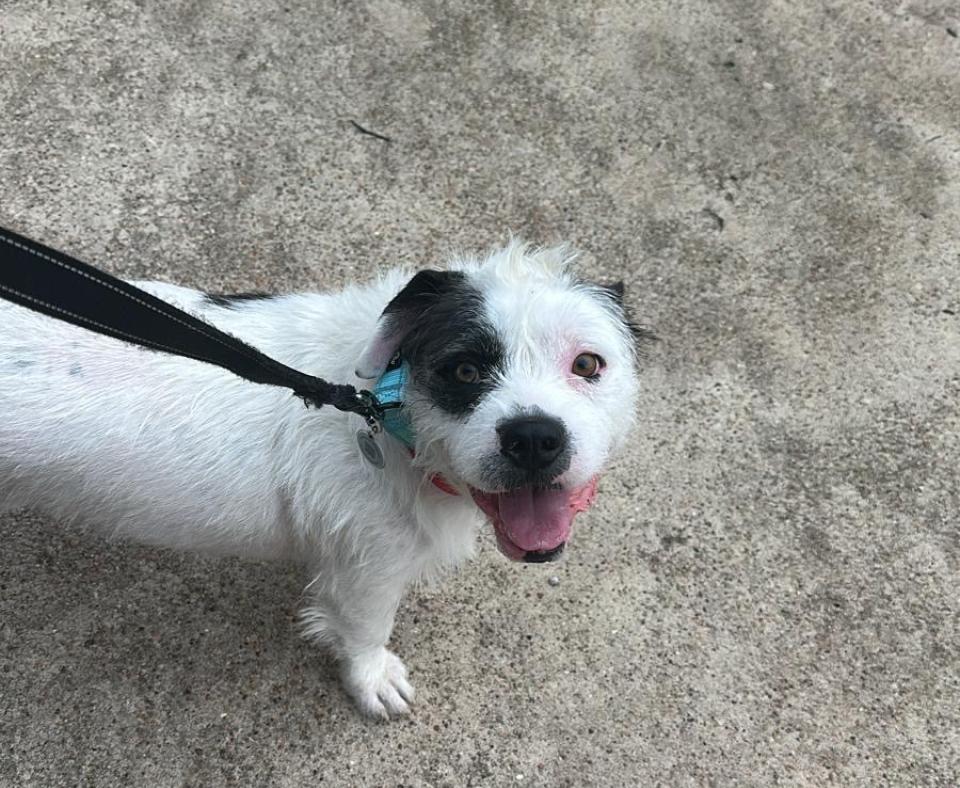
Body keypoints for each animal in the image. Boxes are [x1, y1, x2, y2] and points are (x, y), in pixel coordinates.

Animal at [1, 242, 644, 720]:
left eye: (587, 364)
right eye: (463, 369)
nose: (534, 438)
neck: (383, 411)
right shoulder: (366, 570)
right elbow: (365, 631)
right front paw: (371, 679)